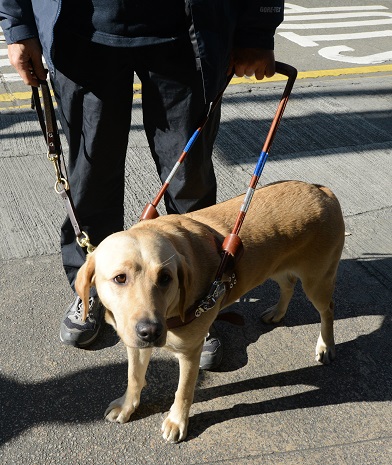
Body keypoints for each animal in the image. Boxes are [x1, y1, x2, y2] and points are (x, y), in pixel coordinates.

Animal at [76, 179, 344, 440]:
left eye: (165, 278)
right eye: (120, 278)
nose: (151, 331)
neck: (171, 312)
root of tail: (323, 191)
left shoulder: (190, 353)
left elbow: (184, 391)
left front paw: (177, 421)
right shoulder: (135, 344)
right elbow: (134, 377)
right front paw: (127, 406)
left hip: (317, 281)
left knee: (328, 309)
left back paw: (326, 345)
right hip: (274, 266)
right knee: (288, 283)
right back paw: (277, 312)